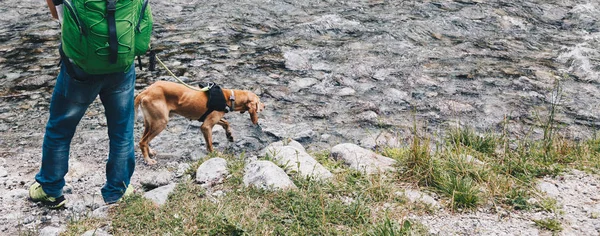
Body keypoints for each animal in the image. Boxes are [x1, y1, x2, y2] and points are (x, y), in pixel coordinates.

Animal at [136, 80, 268, 164]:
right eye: (259, 101)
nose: (265, 106)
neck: (229, 97)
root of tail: (145, 92)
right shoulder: (206, 126)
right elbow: (210, 144)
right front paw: (215, 154)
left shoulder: (212, 119)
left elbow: (226, 122)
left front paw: (229, 135)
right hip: (161, 122)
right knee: (143, 142)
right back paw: (148, 160)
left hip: (150, 122)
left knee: (144, 140)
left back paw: (150, 152)